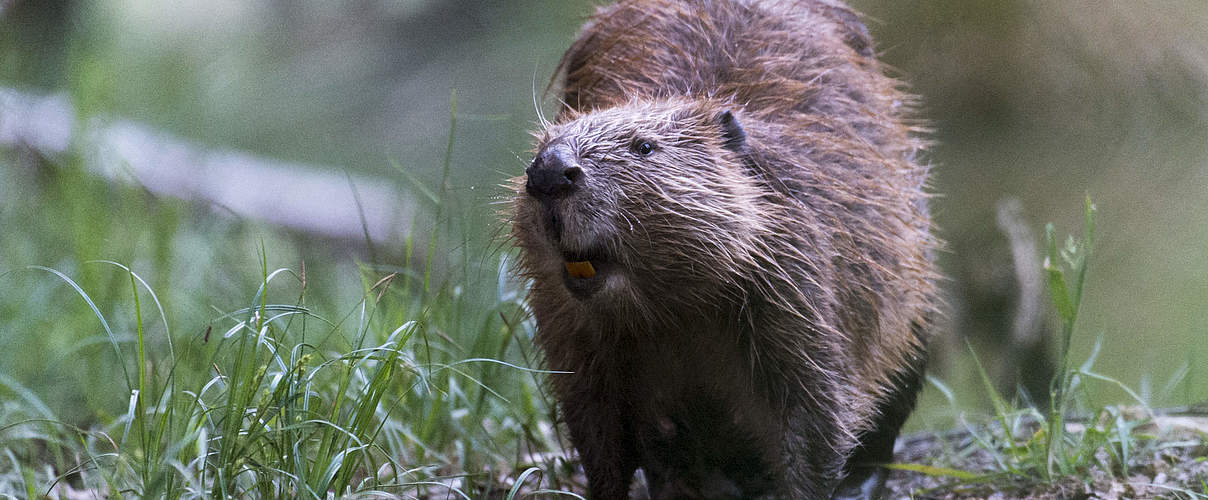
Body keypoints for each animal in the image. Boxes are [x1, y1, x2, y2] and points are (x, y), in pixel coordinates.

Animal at [504, 1, 937, 497]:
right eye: (539, 148)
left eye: (644, 146)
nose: (549, 172)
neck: (666, 311)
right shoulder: (569, 327)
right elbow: (596, 424)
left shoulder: (793, 278)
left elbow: (814, 408)